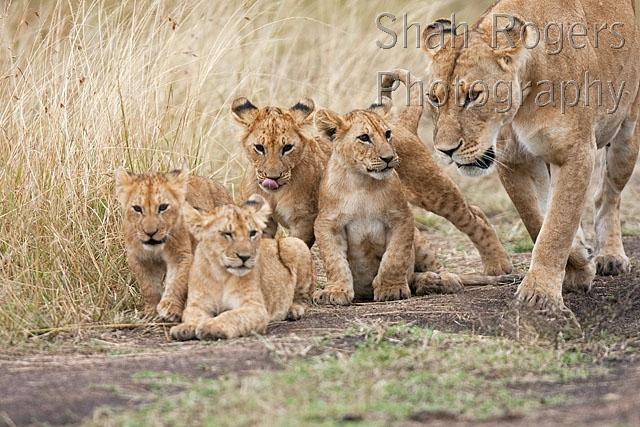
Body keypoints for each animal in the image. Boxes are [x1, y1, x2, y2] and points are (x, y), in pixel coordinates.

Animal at [115, 169, 232, 321]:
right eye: (137, 208)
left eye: (163, 207)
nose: (150, 233)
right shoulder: (139, 258)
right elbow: (148, 286)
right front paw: (151, 312)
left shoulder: (180, 255)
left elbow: (177, 282)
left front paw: (170, 309)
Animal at [170, 194, 314, 340]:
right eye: (227, 233)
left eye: (252, 233)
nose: (245, 257)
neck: (221, 274)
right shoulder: (197, 305)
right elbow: (194, 316)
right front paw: (185, 327)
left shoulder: (256, 308)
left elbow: (232, 315)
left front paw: (211, 326)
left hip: (293, 243)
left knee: (301, 297)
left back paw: (293, 310)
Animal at [231, 95, 511, 276]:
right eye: (259, 148)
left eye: (287, 148)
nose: (274, 176)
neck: (275, 192)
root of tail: (400, 124)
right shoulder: (264, 222)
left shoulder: (305, 219)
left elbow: (295, 250)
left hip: (433, 190)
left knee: (475, 215)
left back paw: (497, 266)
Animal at [312, 99, 513, 305]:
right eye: (364, 138)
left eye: (387, 134)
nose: (389, 158)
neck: (361, 183)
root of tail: (403, 123)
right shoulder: (327, 223)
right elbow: (334, 260)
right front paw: (335, 291)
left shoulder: (401, 218)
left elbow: (395, 257)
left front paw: (391, 289)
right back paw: (428, 283)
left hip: (433, 194)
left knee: (472, 221)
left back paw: (465, 274)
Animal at [419, 0, 639, 312]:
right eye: (434, 98)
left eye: (474, 95)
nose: (445, 150)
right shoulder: (514, 160)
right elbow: (537, 218)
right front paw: (578, 266)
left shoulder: (574, 154)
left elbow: (557, 225)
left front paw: (540, 294)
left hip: (626, 135)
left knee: (608, 195)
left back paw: (611, 256)